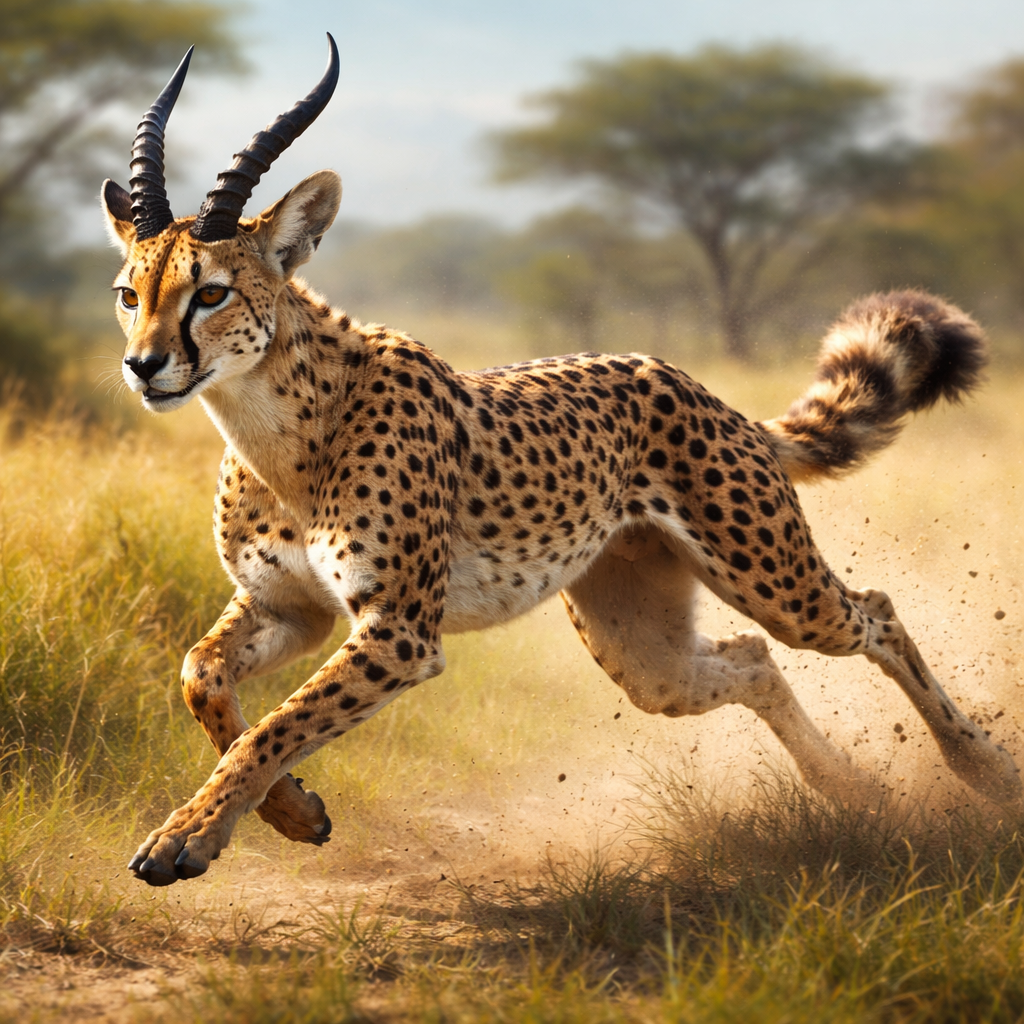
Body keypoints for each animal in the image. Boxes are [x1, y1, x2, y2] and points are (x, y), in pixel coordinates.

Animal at [104, 37, 1021, 887]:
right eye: (128, 294)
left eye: (211, 292)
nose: (144, 365)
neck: (280, 432)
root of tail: (693, 383)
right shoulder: (294, 609)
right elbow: (204, 680)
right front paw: (292, 813)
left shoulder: (397, 632)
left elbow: (275, 725)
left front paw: (186, 837)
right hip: (643, 653)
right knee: (751, 662)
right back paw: (851, 789)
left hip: (776, 581)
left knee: (875, 612)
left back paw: (984, 769)